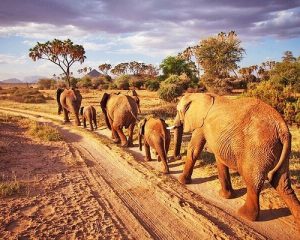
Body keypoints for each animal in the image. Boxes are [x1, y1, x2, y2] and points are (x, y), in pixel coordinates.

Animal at [171, 92, 300, 225]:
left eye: (178, 111)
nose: (177, 157)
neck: (200, 95)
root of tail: (283, 129)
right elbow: (219, 159)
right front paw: (226, 196)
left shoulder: (201, 125)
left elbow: (194, 149)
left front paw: (181, 181)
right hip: (278, 149)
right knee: (281, 183)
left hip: (258, 148)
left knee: (253, 181)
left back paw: (244, 215)